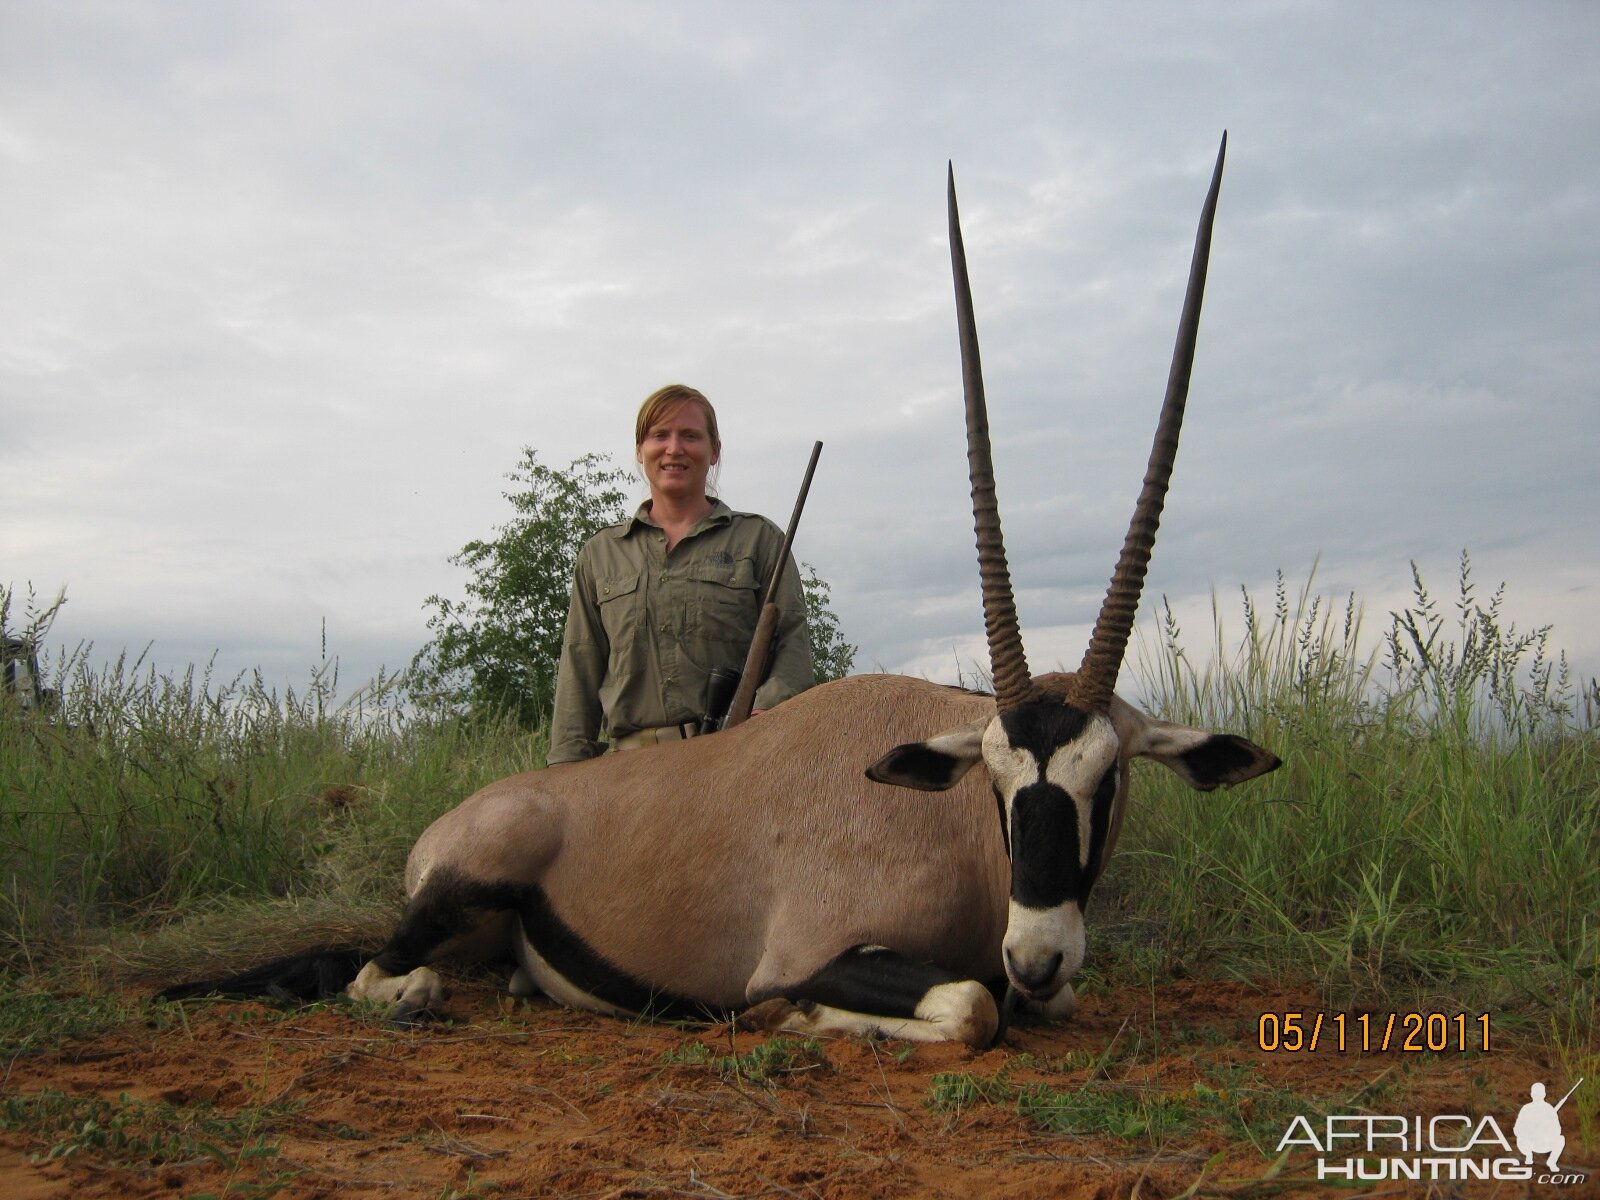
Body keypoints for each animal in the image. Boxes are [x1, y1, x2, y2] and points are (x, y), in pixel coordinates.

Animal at [162, 136, 1280, 1049]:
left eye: (1107, 777)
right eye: (1001, 782)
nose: (1038, 953)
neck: (954, 830)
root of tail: (462, 816)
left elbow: (1016, 1002)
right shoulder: (822, 950)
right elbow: (969, 1006)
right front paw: (793, 1018)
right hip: (459, 894)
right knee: (381, 975)